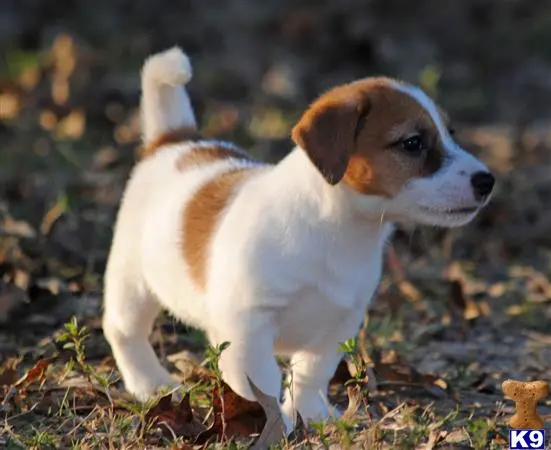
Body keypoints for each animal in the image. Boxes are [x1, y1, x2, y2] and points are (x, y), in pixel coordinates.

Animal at [102, 45, 496, 428]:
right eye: (412, 143)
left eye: (450, 133)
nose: (487, 181)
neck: (337, 230)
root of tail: (174, 142)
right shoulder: (250, 326)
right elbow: (261, 384)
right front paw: (267, 424)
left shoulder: (338, 325)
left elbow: (310, 376)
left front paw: (311, 416)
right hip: (132, 284)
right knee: (123, 332)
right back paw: (150, 384)